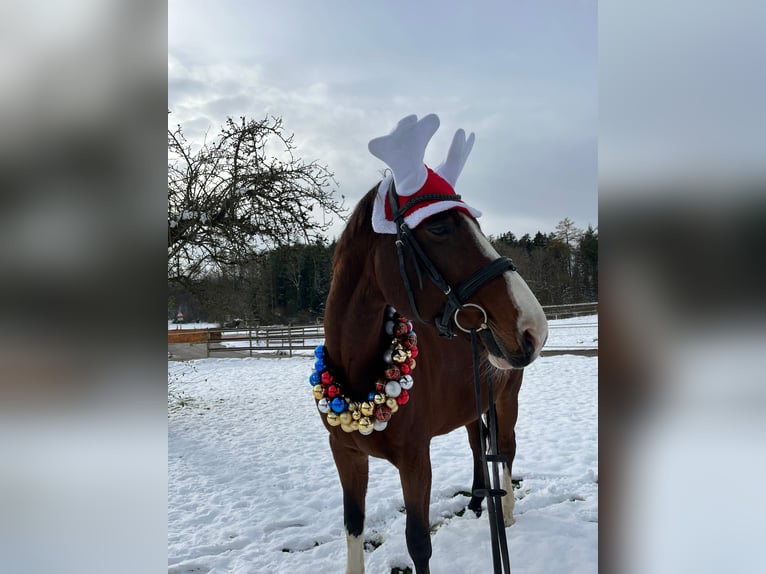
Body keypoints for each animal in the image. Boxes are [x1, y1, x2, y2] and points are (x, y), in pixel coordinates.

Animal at [308, 113, 548, 574]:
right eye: (439, 227)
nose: (534, 327)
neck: (360, 375)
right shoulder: (345, 454)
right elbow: (353, 528)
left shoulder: (416, 460)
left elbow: (418, 541)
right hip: (474, 405)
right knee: (478, 447)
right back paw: (477, 503)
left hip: (506, 400)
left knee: (505, 451)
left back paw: (506, 513)